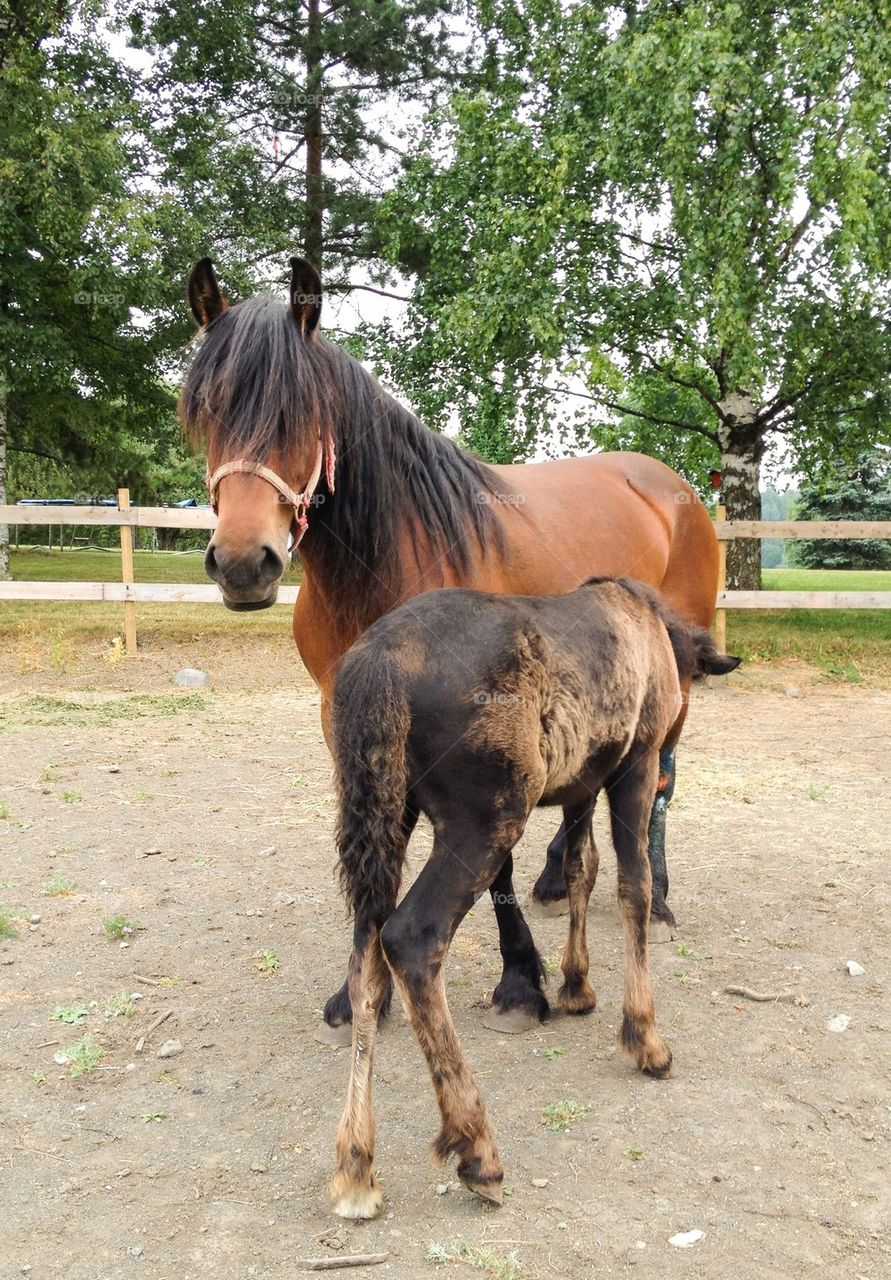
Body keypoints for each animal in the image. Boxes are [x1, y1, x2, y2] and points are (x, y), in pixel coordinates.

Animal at [179, 255, 720, 1036]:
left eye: (301, 414)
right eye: (206, 411)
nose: (244, 563)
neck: (392, 556)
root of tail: (669, 484)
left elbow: (491, 864)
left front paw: (520, 978)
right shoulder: (347, 720)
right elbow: (379, 839)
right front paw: (359, 990)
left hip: (670, 685)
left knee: (660, 781)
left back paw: (660, 891)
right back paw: (559, 872)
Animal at [328, 577, 740, 1218]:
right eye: (690, 680)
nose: (673, 769)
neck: (654, 630)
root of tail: (379, 663)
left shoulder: (582, 781)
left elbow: (579, 868)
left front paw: (576, 985)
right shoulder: (633, 764)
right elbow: (634, 885)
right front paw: (644, 1036)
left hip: (388, 816)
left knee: (365, 960)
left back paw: (355, 1164)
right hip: (484, 819)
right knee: (411, 938)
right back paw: (476, 1147)